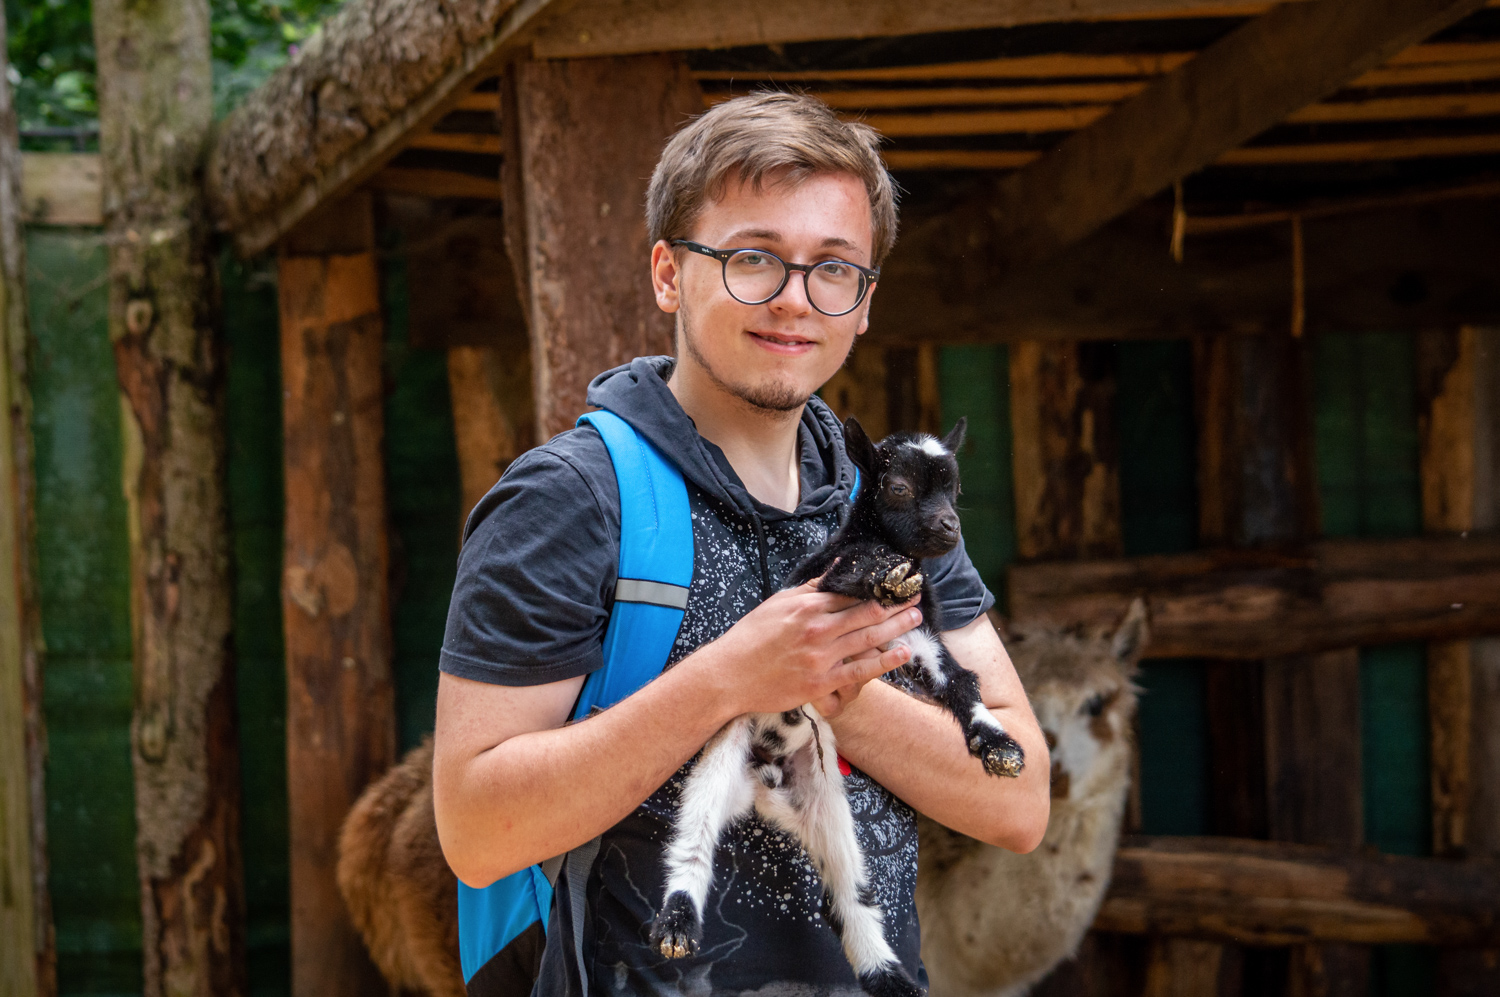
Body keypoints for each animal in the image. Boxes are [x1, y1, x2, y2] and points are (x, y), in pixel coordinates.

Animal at [649, 417, 1023, 997]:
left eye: (955, 489)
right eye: (899, 488)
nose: (949, 529)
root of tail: (763, 785)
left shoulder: (922, 640)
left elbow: (962, 684)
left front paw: (1000, 746)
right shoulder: (824, 583)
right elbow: (848, 574)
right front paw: (883, 573)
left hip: (825, 799)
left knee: (849, 896)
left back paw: (889, 978)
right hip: (724, 749)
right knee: (694, 836)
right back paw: (677, 922)